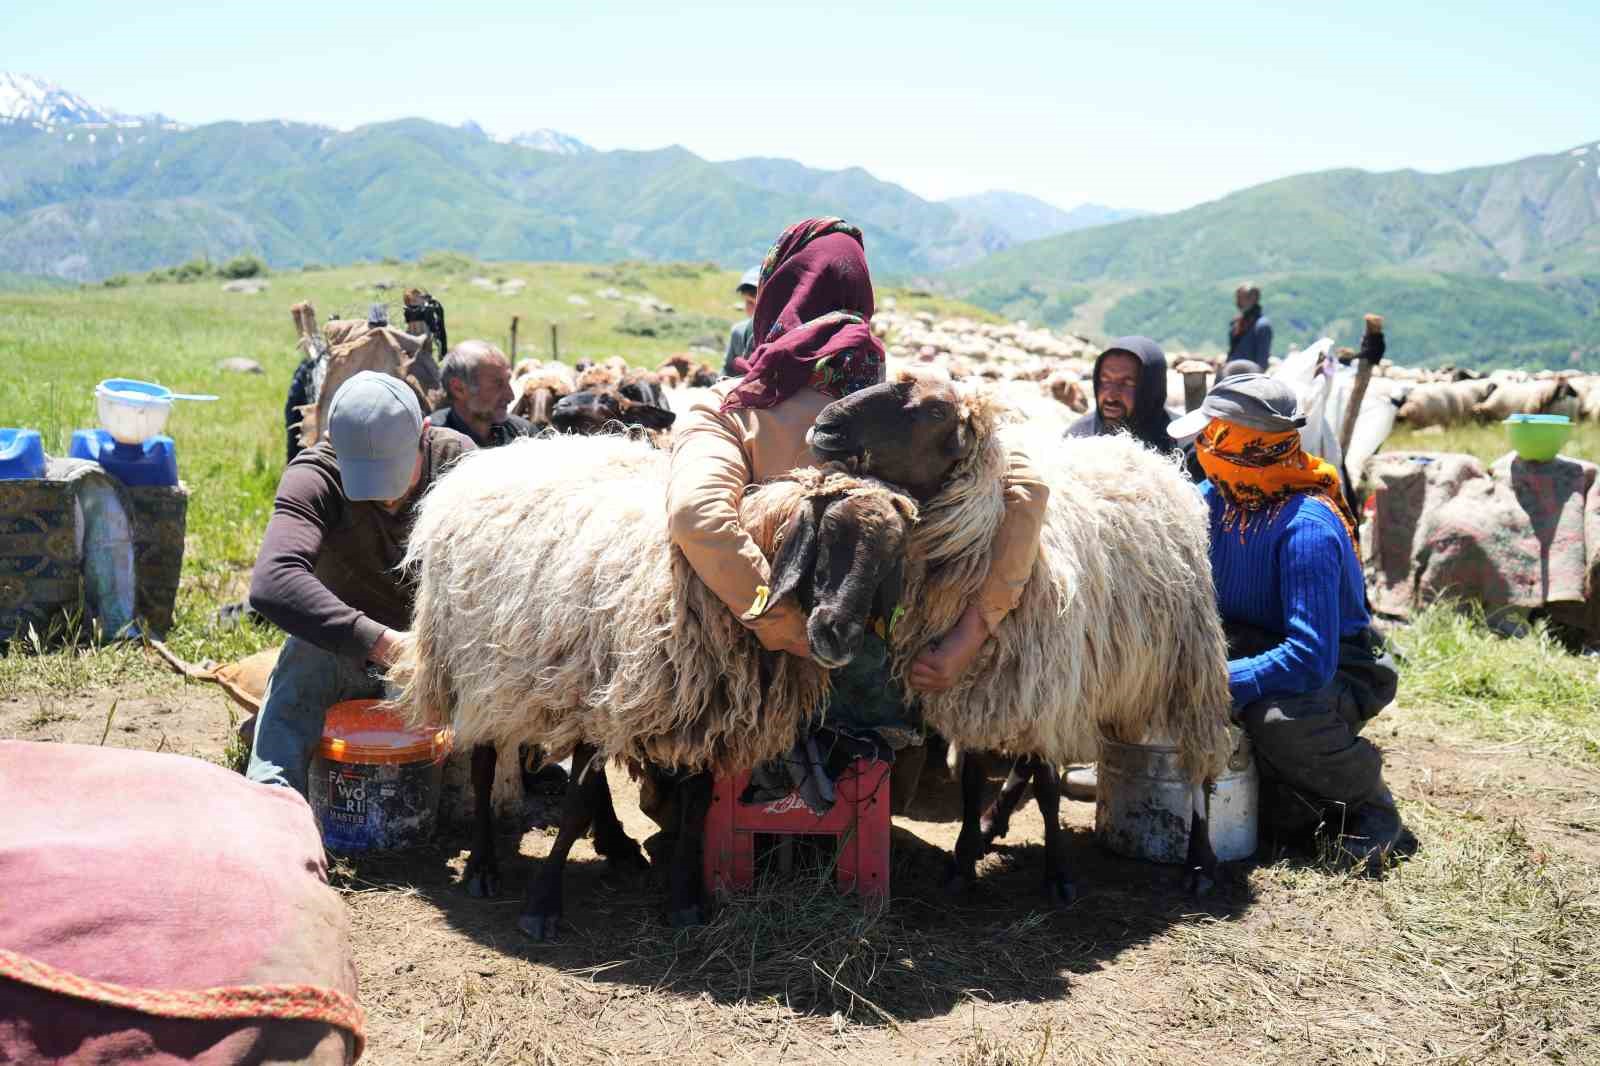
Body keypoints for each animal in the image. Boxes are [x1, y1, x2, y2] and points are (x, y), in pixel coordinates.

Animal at [387, 435, 915, 934]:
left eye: (892, 559)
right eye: (830, 534)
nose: (838, 636)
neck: (705, 585)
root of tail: (493, 456)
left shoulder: (702, 714)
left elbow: (697, 804)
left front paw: (684, 903)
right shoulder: (599, 695)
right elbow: (574, 805)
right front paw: (541, 908)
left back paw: (617, 844)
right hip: (479, 673)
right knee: (482, 766)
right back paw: (482, 867)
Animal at [812, 372, 1235, 896]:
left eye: (935, 411)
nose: (826, 426)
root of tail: (1146, 456)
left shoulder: (1048, 683)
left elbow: (1050, 790)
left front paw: (1057, 876)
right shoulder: (976, 686)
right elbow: (974, 778)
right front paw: (963, 859)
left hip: (1186, 663)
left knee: (1197, 766)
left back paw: (1200, 862)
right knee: (1027, 762)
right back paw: (991, 825)